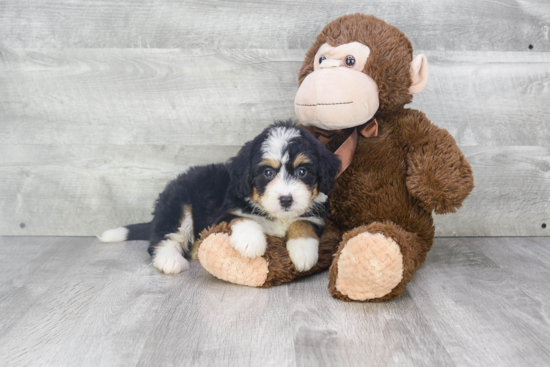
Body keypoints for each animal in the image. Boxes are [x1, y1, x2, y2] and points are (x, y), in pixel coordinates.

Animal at [98, 122, 340, 274]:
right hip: (178, 203)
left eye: (302, 172)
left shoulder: (317, 215)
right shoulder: (221, 213)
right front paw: (251, 241)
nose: (286, 199)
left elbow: (302, 223)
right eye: (267, 173)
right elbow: (243, 218)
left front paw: (303, 252)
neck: (276, 215)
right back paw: (170, 260)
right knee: (164, 237)